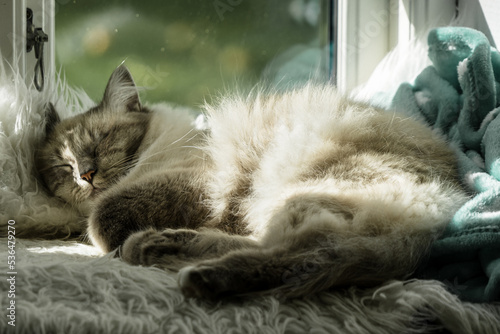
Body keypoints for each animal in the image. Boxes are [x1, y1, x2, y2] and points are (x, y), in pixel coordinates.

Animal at [36, 66, 468, 300]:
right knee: (282, 250)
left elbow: (102, 219)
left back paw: (179, 266)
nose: (85, 174)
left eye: (99, 142)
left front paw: (111, 238)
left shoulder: (195, 180)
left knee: (298, 253)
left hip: (292, 190)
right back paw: (162, 251)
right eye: (63, 166)